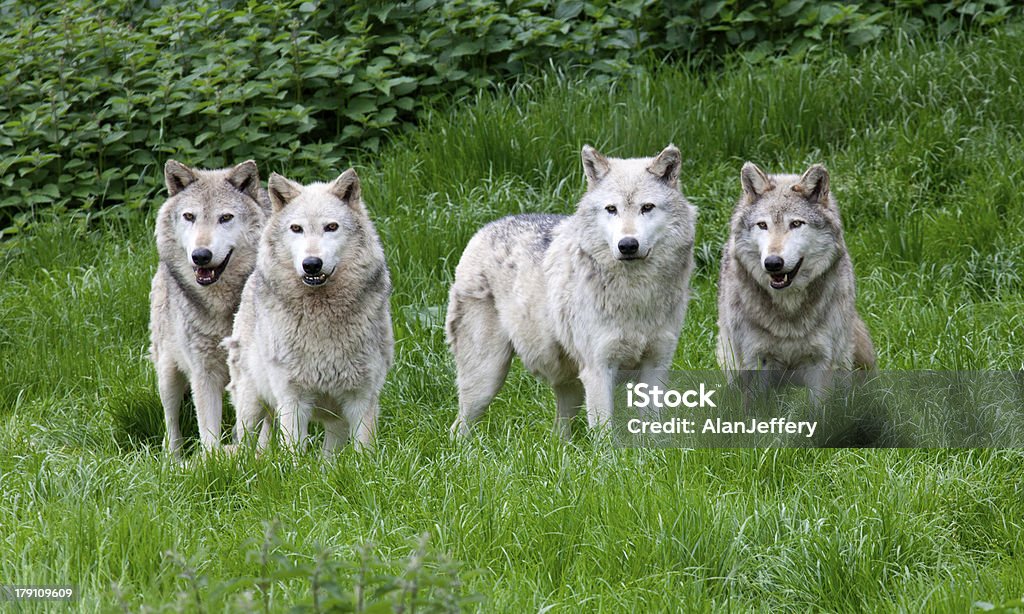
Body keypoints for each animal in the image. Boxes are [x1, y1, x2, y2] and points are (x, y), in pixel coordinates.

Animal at [148, 160, 270, 452]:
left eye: (225, 218)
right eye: (189, 216)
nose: (201, 256)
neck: (222, 307)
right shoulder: (203, 372)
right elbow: (208, 433)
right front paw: (214, 461)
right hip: (168, 373)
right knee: (171, 423)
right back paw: (173, 459)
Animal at [226, 169, 393, 452]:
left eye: (331, 227)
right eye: (297, 229)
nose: (312, 264)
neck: (320, 315)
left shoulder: (362, 398)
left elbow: (364, 452)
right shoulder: (292, 399)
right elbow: (293, 453)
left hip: (334, 422)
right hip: (251, 407)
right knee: (244, 448)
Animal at [446, 144, 696, 435]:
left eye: (647, 207)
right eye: (611, 209)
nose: (627, 245)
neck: (637, 294)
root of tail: (484, 229)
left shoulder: (656, 366)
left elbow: (653, 428)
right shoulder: (598, 370)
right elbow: (604, 435)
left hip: (569, 386)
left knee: (558, 432)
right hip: (486, 379)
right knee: (458, 429)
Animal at [716, 161, 876, 392]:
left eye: (796, 224)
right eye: (762, 225)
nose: (773, 263)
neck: (788, 309)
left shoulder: (821, 361)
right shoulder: (756, 359)